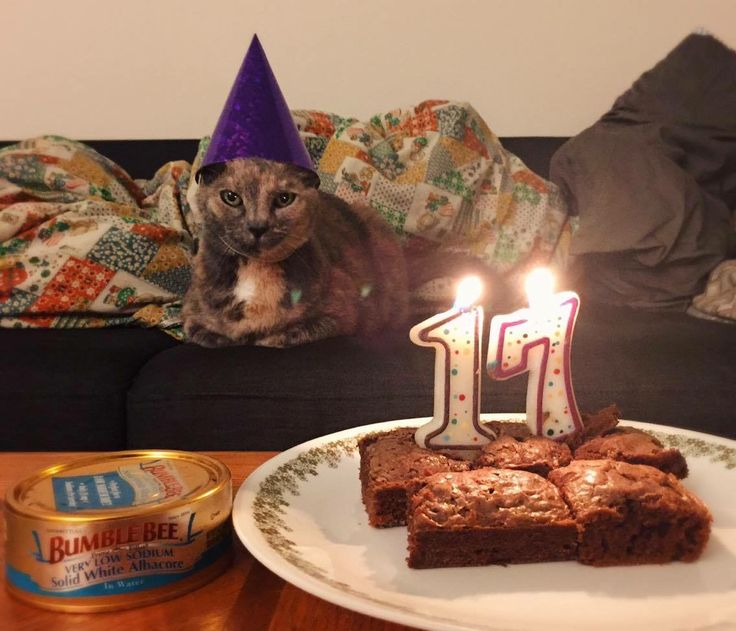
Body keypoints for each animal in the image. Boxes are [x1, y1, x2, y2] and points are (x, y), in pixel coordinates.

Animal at [182, 156, 414, 348]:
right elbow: (205, 333)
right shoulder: (190, 313)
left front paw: (266, 337)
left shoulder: (344, 314)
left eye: (284, 199)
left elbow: (288, 334)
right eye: (231, 197)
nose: (257, 226)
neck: (255, 271)